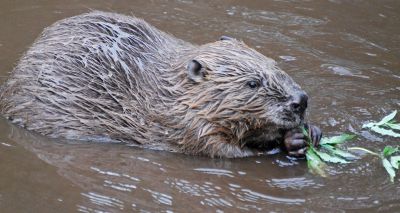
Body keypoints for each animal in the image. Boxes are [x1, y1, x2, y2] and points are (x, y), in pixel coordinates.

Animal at [0, 11, 322, 158]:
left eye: (274, 64)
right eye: (252, 83)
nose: (300, 100)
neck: (170, 91)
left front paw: (311, 133)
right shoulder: (185, 125)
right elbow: (223, 150)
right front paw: (290, 142)